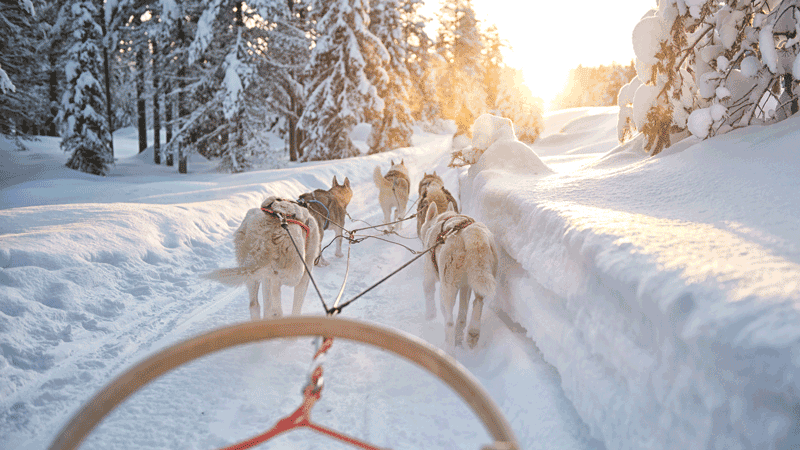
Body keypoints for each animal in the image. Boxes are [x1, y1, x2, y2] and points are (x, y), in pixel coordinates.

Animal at [422, 202, 496, 354]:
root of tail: (470, 232)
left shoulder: (429, 274)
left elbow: (428, 292)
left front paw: (430, 316)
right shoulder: (465, 287)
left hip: (448, 287)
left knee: (449, 321)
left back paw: (449, 349)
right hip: (480, 275)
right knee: (473, 306)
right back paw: (471, 334)